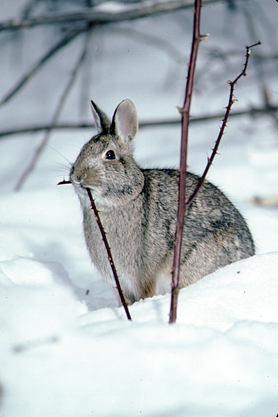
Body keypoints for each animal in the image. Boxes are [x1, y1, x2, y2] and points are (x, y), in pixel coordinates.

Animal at [70, 99, 255, 304]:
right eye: (82, 150)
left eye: (110, 155)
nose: (77, 176)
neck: (121, 201)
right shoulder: (119, 285)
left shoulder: (144, 276)